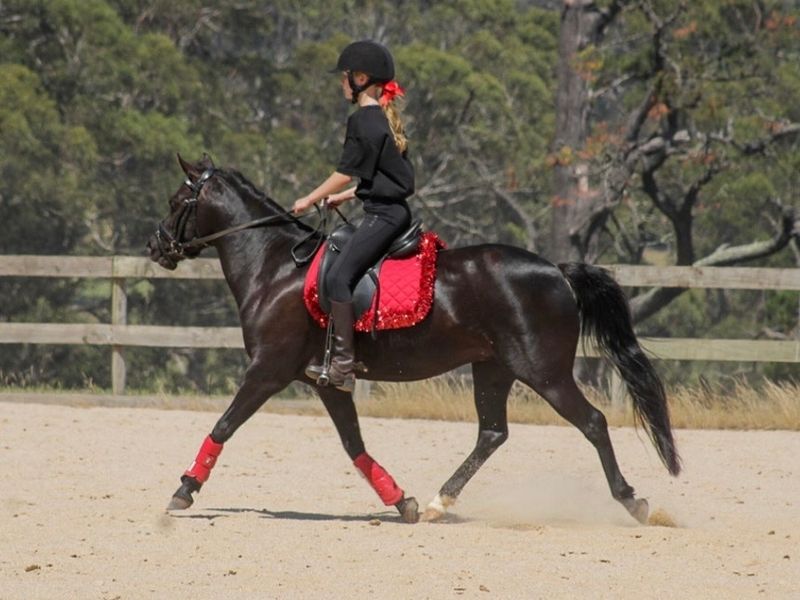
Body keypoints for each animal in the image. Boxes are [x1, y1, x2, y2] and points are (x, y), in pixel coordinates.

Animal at [147, 155, 680, 525]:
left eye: (176, 202)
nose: (155, 247)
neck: (276, 266)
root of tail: (556, 270)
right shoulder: (325, 382)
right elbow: (354, 445)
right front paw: (401, 501)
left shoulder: (267, 370)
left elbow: (224, 425)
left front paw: (183, 490)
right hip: (493, 368)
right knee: (492, 433)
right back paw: (438, 502)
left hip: (544, 372)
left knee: (592, 422)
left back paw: (633, 501)